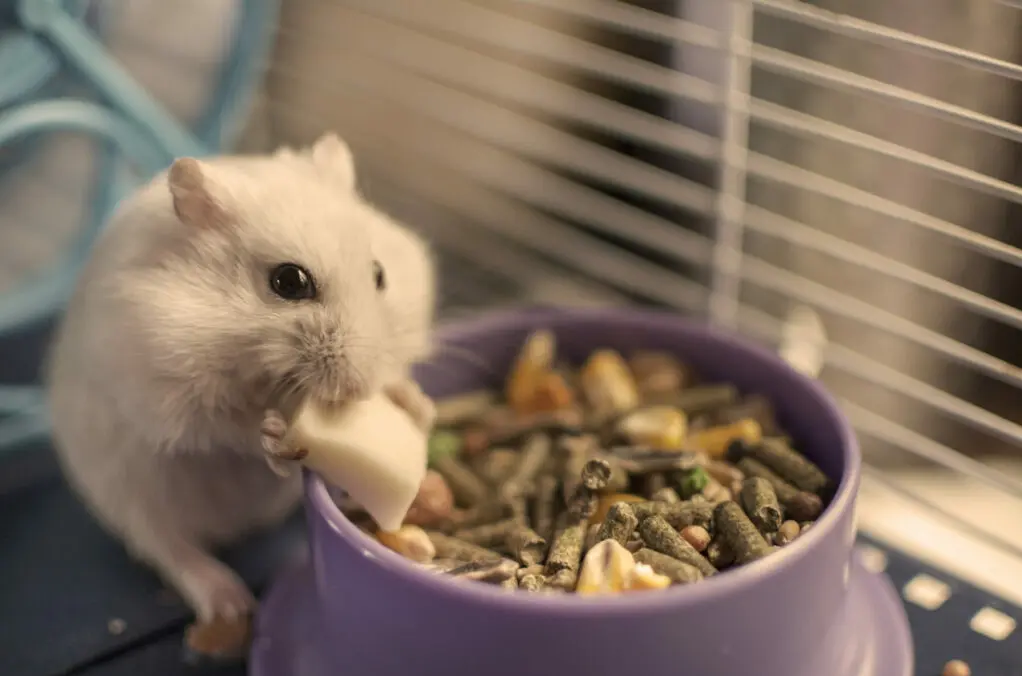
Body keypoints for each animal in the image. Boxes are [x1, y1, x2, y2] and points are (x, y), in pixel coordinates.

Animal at [45, 133, 437, 622]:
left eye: (379, 274)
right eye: (289, 282)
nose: (359, 388)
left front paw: (417, 404)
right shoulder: (168, 390)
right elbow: (227, 425)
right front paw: (273, 433)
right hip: (128, 493)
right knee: (169, 549)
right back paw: (230, 603)